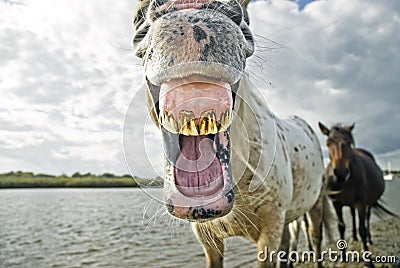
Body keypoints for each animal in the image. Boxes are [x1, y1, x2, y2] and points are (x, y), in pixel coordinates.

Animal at [132, 1, 334, 266]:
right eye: (138, 13)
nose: (192, 12)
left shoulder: (271, 226)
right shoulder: (208, 238)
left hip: (315, 203)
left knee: (315, 237)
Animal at [318, 122, 388, 266]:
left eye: (349, 142)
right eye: (328, 143)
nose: (340, 173)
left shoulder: (361, 203)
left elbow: (362, 229)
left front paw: (368, 260)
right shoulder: (336, 204)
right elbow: (341, 227)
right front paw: (343, 255)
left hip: (368, 204)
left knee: (367, 217)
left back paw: (369, 240)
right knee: (352, 214)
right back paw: (354, 237)